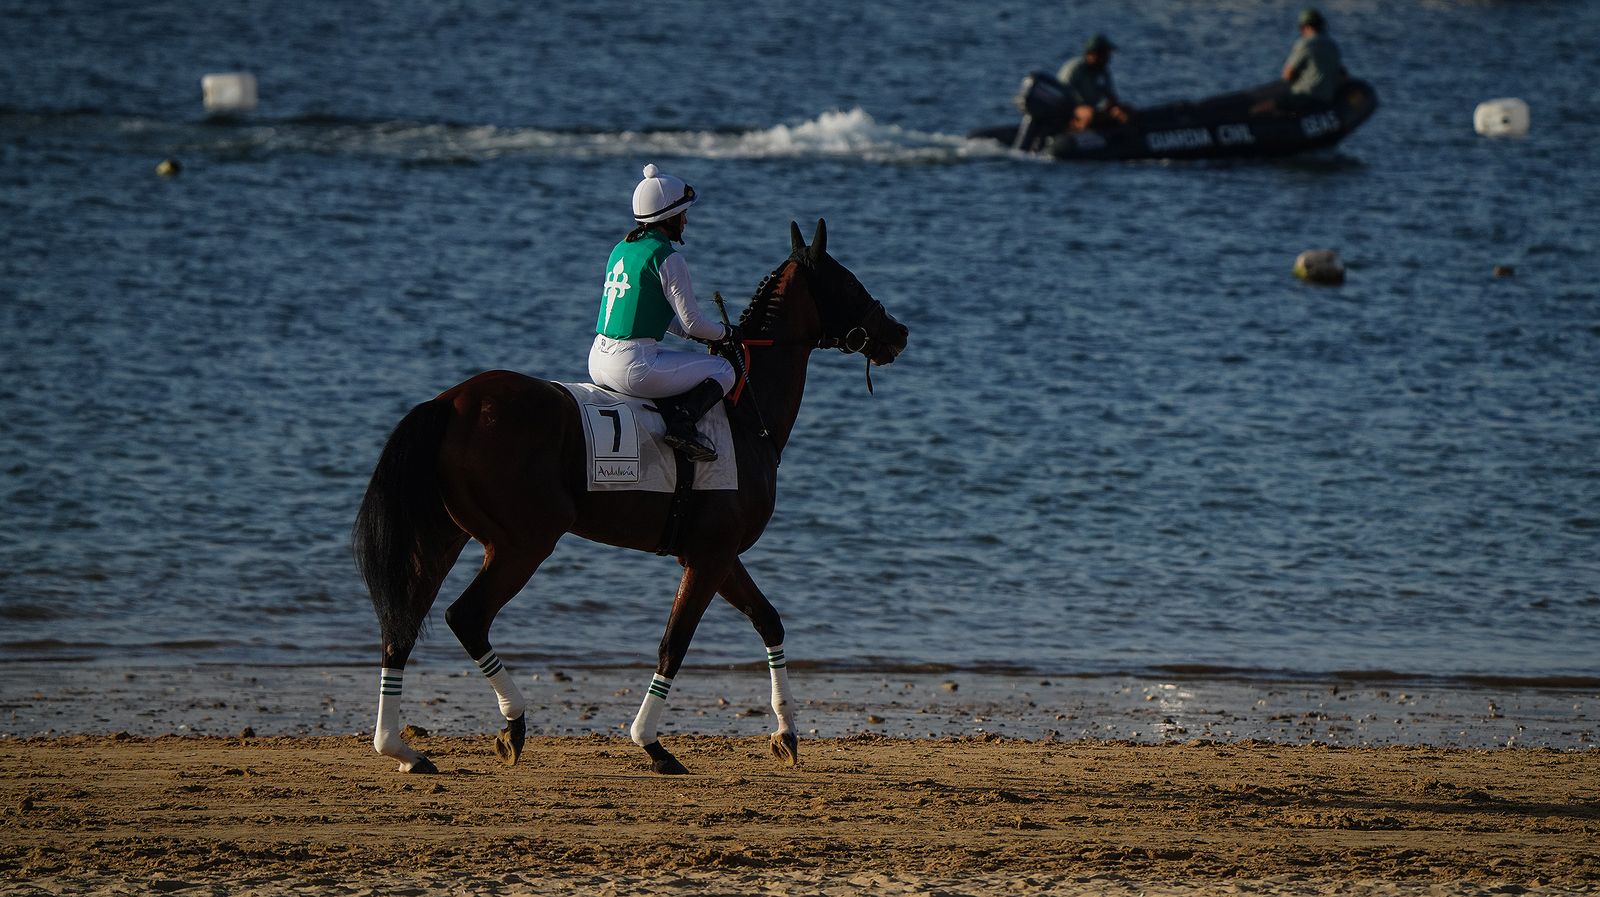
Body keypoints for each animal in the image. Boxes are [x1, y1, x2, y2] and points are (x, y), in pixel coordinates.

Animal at [351, 219, 908, 775]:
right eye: (851, 282)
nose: (898, 332)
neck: (746, 414)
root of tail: (450, 402)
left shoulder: (718, 555)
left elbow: (768, 621)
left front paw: (786, 731)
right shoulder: (709, 557)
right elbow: (673, 645)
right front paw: (651, 742)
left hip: (445, 538)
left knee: (401, 625)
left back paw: (400, 747)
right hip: (523, 543)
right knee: (465, 617)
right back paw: (512, 724)